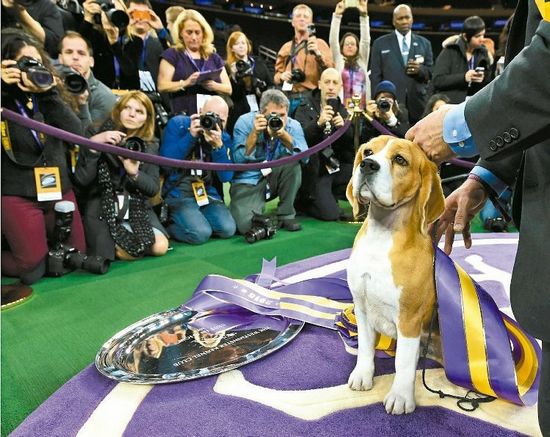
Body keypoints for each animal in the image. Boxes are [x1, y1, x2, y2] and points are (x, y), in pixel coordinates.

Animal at [348, 135, 446, 414]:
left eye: (400, 160)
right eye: (368, 152)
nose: (367, 165)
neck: (382, 236)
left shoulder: (409, 320)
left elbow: (402, 363)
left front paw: (401, 396)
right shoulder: (361, 308)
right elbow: (365, 348)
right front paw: (363, 375)